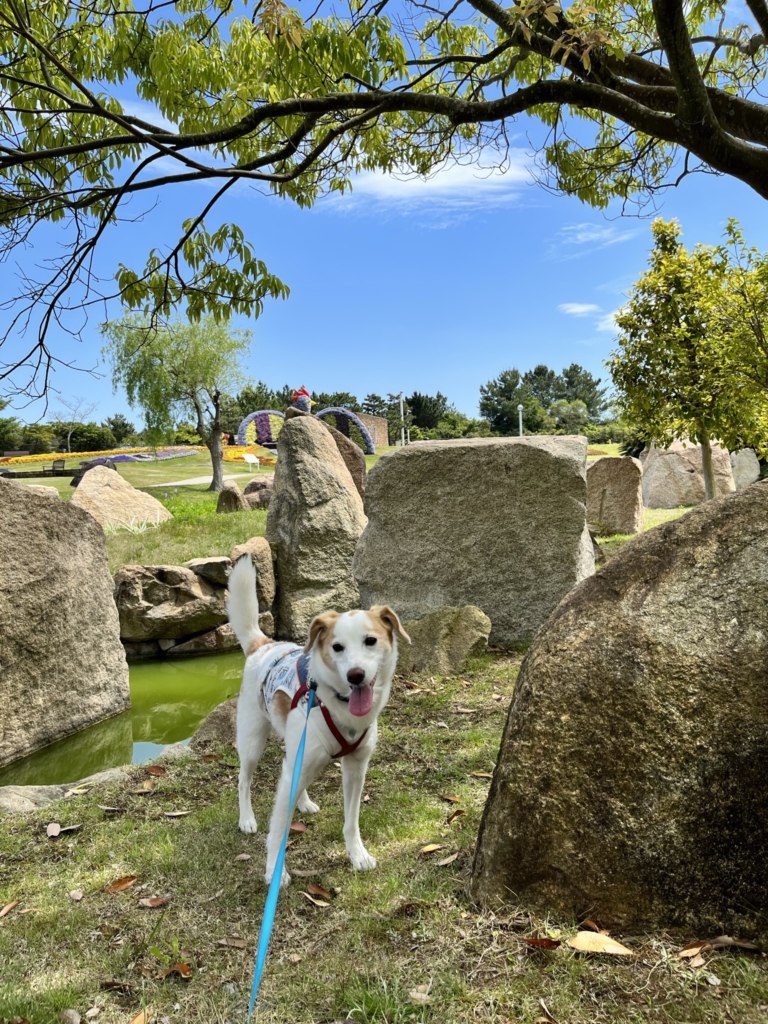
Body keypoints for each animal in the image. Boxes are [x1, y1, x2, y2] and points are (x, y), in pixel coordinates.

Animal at [227, 557, 411, 884]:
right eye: (337, 647)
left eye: (371, 641)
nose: (355, 675)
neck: (337, 702)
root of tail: (263, 644)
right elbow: (278, 830)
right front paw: (274, 871)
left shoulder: (356, 768)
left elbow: (351, 821)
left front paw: (357, 855)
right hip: (252, 741)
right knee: (244, 779)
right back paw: (246, 818)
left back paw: (303, 801)